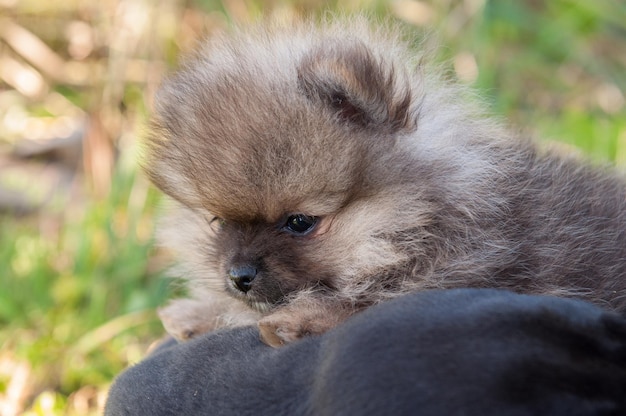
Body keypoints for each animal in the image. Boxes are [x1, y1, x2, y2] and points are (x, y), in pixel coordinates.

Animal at [144, 16, 624, 346]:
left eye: (300, 222)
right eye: (217, 222)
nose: (238, 275)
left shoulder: (467, 274)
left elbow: (366, 303)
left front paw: (297, 319)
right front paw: (199, 312)